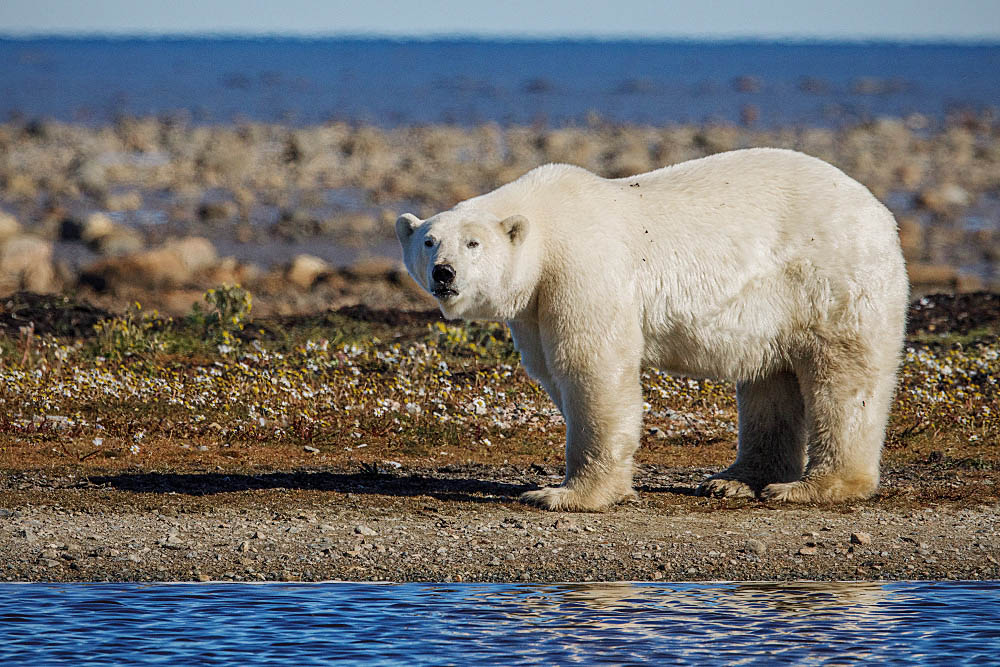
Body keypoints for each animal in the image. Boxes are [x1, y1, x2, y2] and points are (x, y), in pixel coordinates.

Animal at [394, 147, 912, 512]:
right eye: (429, 241)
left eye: (473, 243)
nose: (444, 273)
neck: (547, 223)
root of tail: (880, 213)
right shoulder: (534, 306)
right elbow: (552, 368)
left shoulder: (582, 269)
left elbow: (592, 367)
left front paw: (564, 495)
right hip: (775, 307)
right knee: (770, 380)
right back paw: (735, 481)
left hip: (831, 278)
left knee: (844, 377)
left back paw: (810, 486)